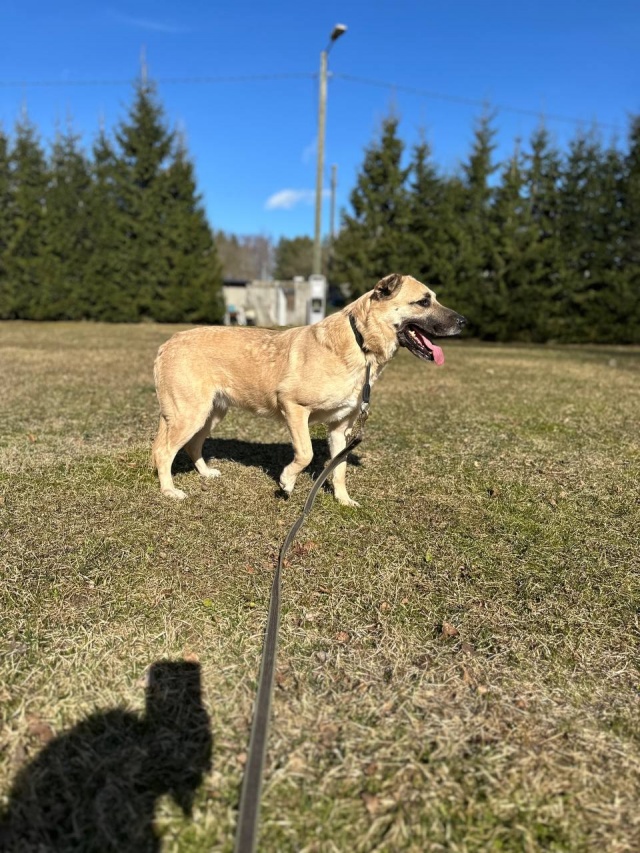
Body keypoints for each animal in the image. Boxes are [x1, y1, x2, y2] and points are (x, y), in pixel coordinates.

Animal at [152, 274, 465, 506]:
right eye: (423, 301)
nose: (464, 322)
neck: (360, 342)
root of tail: (168, 343)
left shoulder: (340, 429)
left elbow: (339, 469)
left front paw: (343, 500)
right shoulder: (293, 407)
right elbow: (306, 454)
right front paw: (286, 482)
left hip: (211, 414)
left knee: (192, 446)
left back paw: (205, 473)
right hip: (189, 415)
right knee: (164, 452)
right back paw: (169, 491)